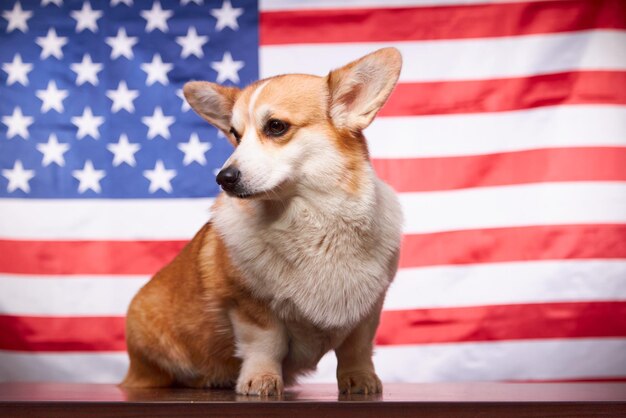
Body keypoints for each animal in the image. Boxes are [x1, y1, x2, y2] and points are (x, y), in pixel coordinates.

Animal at [121, 48, 402, 396]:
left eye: (276, 127)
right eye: (235, 135)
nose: (223, 178)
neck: (314, 218)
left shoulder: (368, 309)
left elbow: (357, 348)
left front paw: (360, 379)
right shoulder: (249, 305)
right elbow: (266, 345)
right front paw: (260, 380)